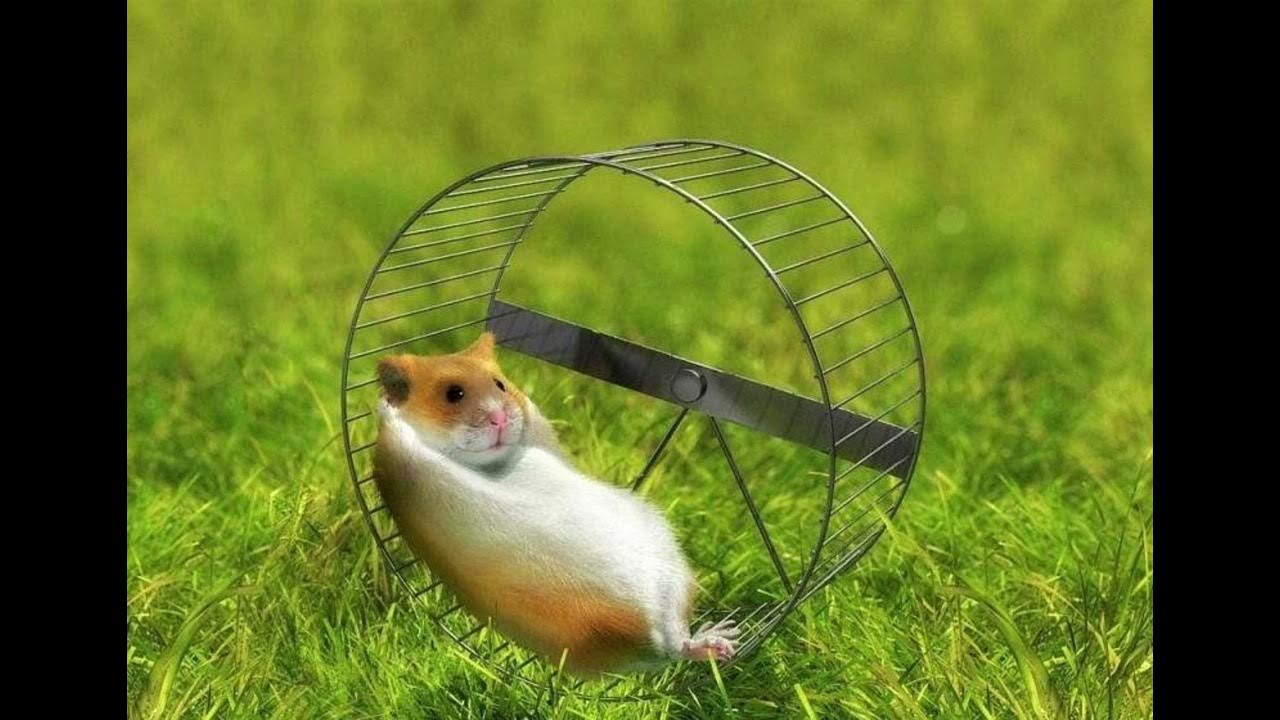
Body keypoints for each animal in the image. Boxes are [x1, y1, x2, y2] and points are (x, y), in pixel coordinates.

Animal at [371, 332, 739, 677]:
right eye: (453, 394)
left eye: (500, 384)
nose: (500, 418)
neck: (493, 466)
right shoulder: (407, 473)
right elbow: (404, 439)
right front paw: (388, 405)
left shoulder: (539, 433)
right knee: (671, 642)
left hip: (668, 560)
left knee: (678, 636)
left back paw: (724, 640)